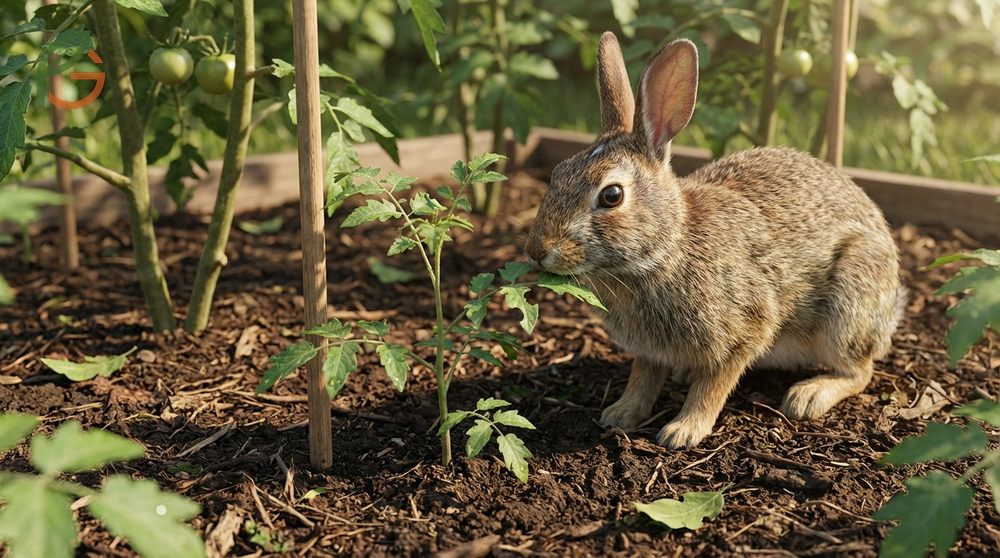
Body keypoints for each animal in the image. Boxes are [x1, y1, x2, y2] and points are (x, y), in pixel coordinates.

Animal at [524, 32, 905, 449]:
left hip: (849, 300)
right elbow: (643, 378)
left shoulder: (746, 328)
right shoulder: (648, 350)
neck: (667, 250)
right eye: (558, 174)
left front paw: (683, 431)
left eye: (611, 196)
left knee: (860, 370)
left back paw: (808, 395)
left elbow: (714, 386)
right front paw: (621, 414)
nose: (537, 250)